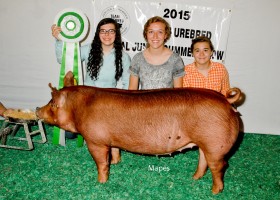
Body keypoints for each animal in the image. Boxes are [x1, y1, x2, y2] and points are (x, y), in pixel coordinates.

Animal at [36, 71, 242, 194]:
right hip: (206, 143)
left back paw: (214, 192)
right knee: (203, 160)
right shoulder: (111, 140)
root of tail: (226, 101)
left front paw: (101, 182)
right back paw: (194, 178)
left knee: (219, 166)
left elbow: (101, 162)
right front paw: (116, 163)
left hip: (215, 143)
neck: (78, 108)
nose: (37, 109)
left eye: (52, 104)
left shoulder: (96, 140)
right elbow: (115, 151)